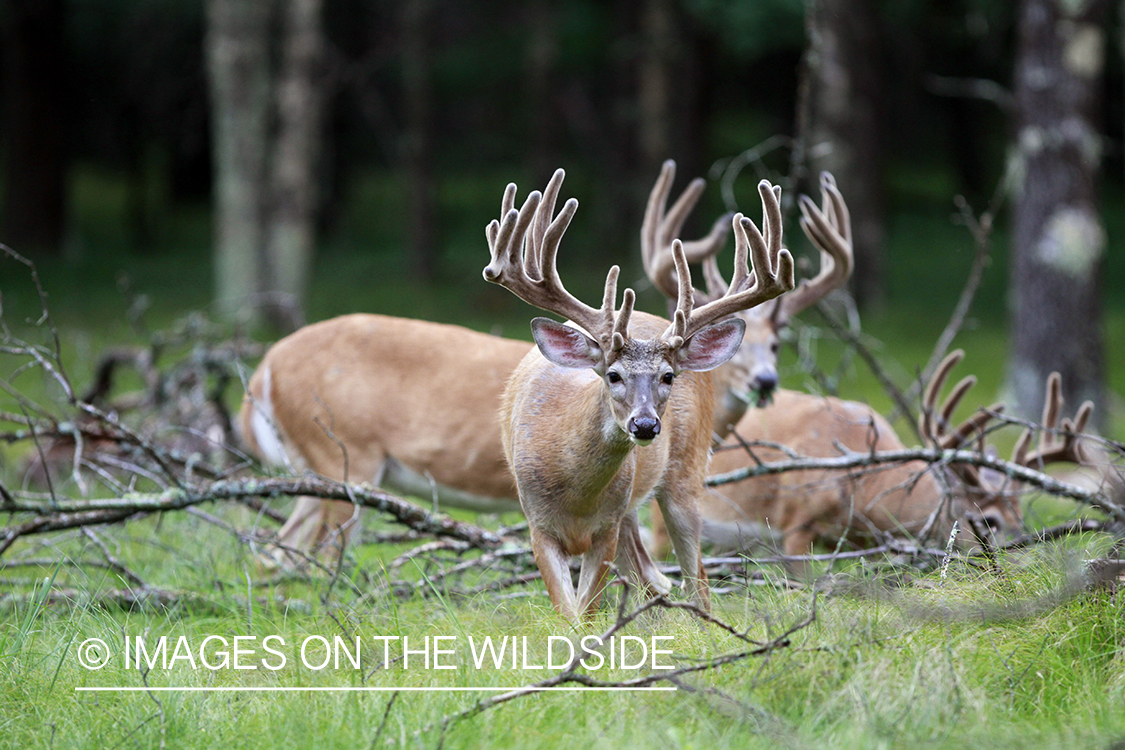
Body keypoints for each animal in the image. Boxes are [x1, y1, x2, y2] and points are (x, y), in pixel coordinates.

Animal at [240, 164, 724, 562]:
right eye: (612, 375)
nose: (645, 424)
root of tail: (264, 368)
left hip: (315, 468)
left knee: (275, 552)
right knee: (306, 553)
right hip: (341, 454)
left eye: (669, 376)